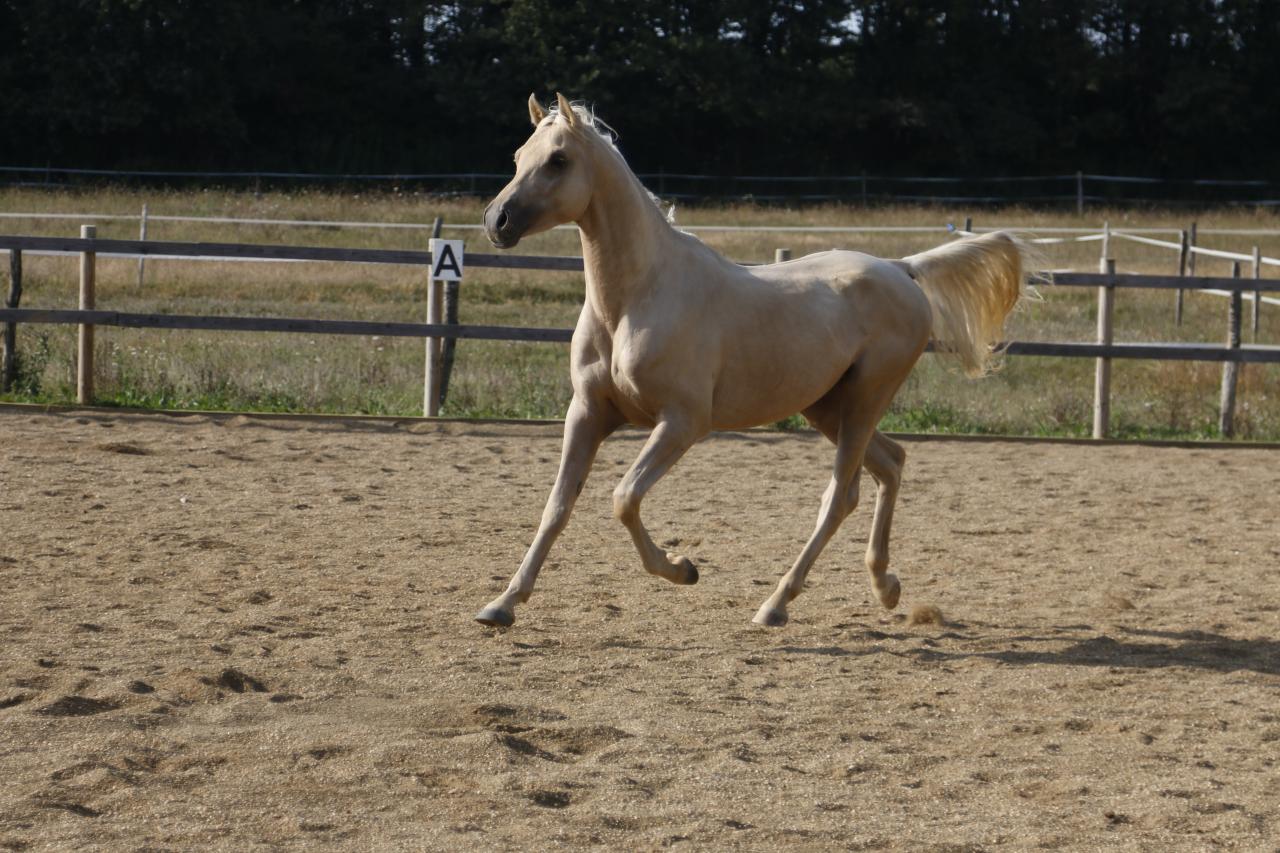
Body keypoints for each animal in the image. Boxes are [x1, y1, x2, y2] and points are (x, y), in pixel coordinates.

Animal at [476, 94, 1034, 625]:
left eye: (559, 160)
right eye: (519, 156)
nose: (496, 221)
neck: (638, 297)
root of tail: (901, 268)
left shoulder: (683, 422)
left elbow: (624, 498)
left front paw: (682, 568)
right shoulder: (588, 412)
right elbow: (557, 506)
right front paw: (502, 604)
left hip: (865, 399)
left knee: (840, 496)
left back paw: (776, 605)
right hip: (828, 407)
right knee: (891, 464)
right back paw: (885, 587)